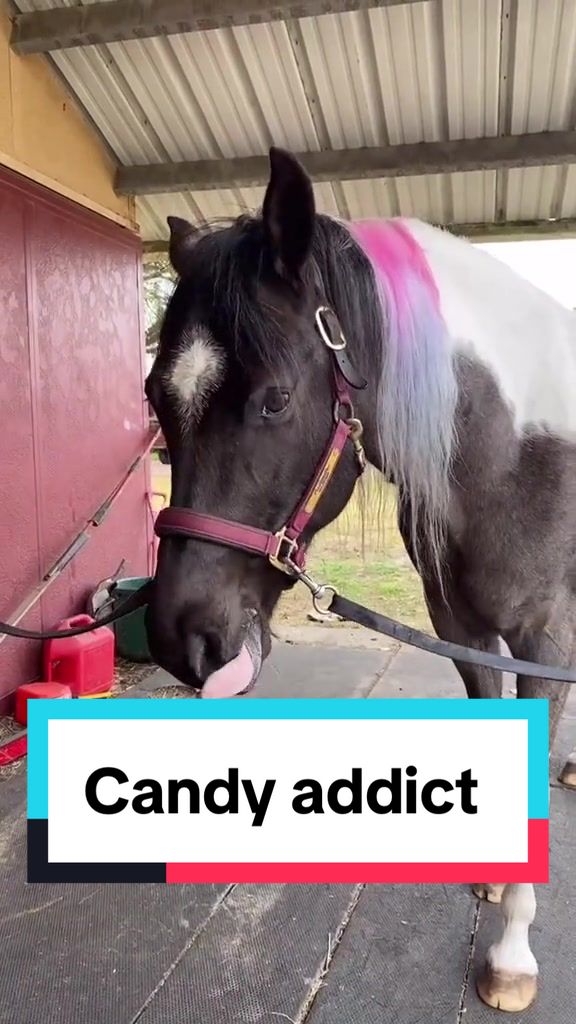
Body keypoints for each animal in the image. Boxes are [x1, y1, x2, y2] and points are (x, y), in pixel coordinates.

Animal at [145, 147, 576, 1013]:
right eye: (156, 400)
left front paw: (512, 952)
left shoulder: (542, 639)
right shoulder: (463, 631)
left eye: (275, 400)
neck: (520, 453)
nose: (180, 640)